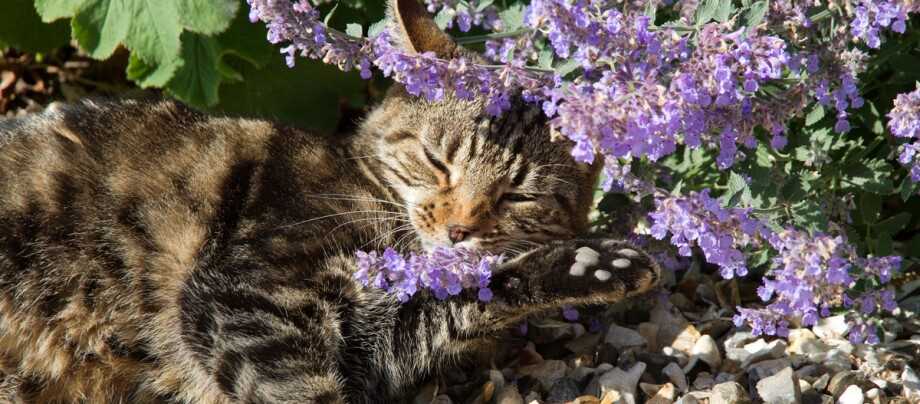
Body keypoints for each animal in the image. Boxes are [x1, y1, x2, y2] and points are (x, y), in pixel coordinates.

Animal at [0, 0, 656, 404]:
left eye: (517, 194)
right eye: (437, 160)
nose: (459, 230)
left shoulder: (377, 339)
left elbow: (462, 298)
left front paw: (594, 263)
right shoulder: (243, 290)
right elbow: (298, 388)